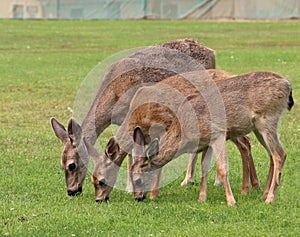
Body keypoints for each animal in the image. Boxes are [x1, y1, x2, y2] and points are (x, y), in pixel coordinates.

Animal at [50, 39, 218, 196]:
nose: (71, 191)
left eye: (71, 165)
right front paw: (130, 188)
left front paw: (132, 187)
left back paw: (198, 180)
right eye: (61, 164)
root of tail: (212, 52)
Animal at [84, 69, 260, 203]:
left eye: (101, 181)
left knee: (245, 142)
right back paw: (253, 185)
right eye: (92, 180)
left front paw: (154, 193)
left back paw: (249, 187)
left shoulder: (165, 126)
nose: (98, 199)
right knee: (245, 143)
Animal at [112, 70, 292, 206]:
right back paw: (264, 194)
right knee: (272, 155)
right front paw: (202, 198)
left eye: (138, 180)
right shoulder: (206, 142)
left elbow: (222, 167)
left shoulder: (218, 133)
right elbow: (204, 167)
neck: (185, 130)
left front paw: (231, 201)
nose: (138, 198)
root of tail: (287, 84)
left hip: (267, 120)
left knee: (280, 154)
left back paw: (270, 198)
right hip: (259, 128)